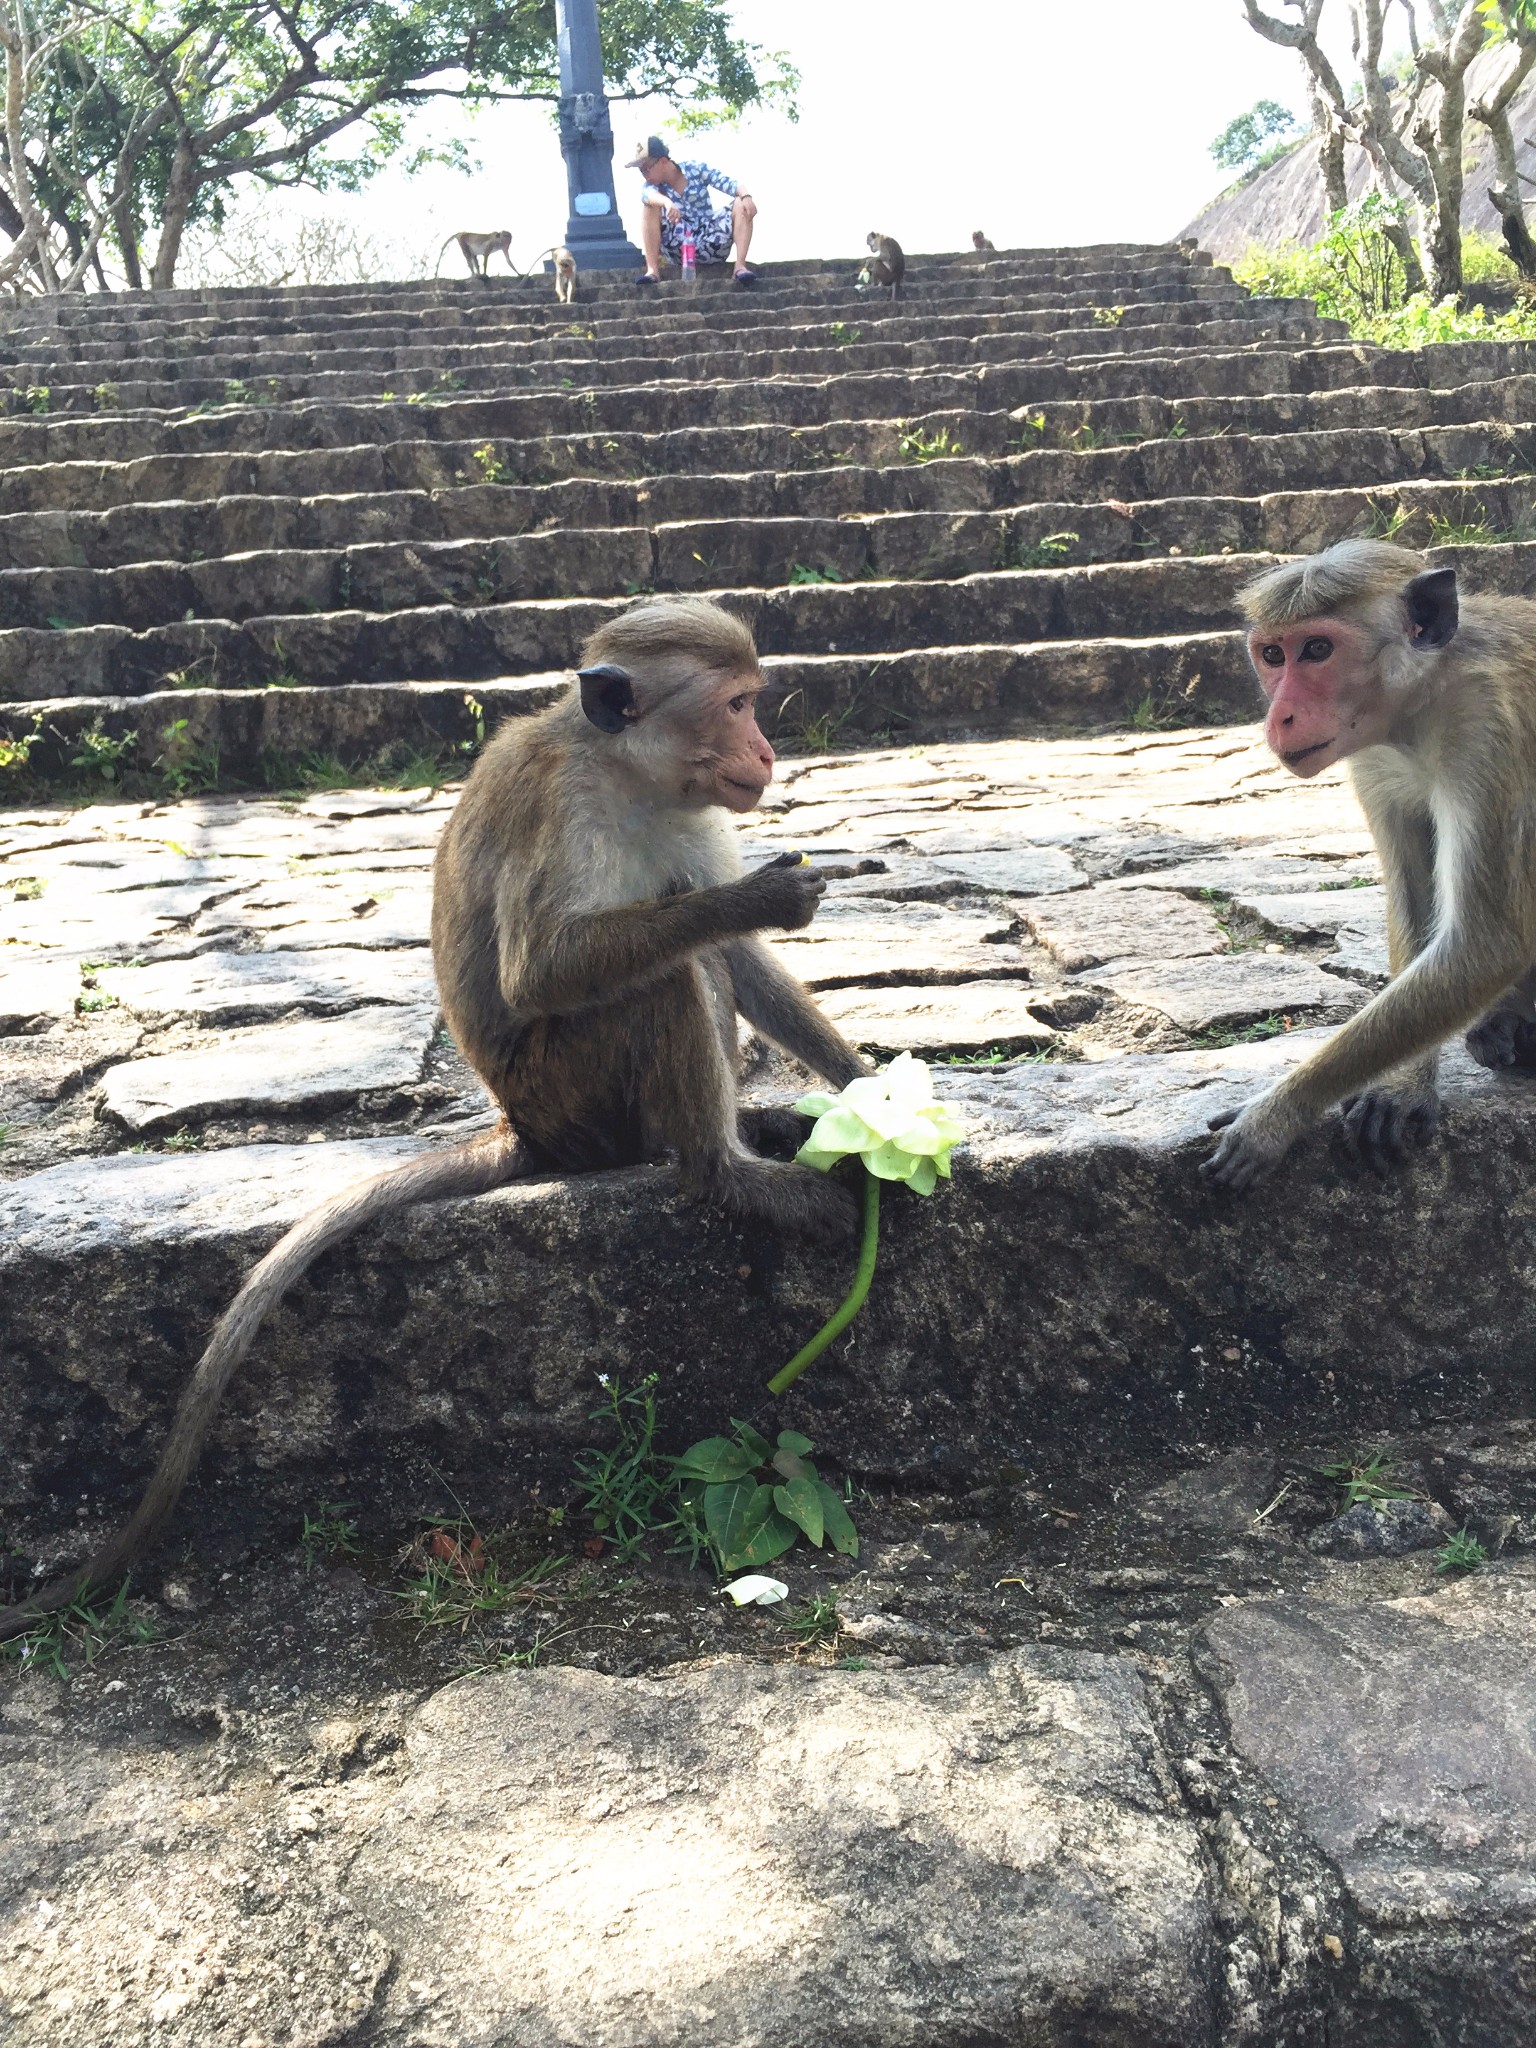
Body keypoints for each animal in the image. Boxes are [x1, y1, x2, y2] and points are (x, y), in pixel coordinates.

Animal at [0, 598, 868, 1646]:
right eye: (736, 704)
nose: (766, 746)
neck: (628, 771)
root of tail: (523, 1128)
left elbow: (739, 958)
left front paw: (867, 1085)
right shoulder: (562, 806)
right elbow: (550, 970)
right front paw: (764, 897)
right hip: (573, 1091)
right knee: (658, 974)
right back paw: (724, 1169)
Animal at [1212, 536, 1536, 1196]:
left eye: (1317, 649)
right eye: (1272, 654)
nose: (1278, 716)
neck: (1425, 699)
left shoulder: (1489, 729)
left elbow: (1488, 940)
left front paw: (1277, 1114)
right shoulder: (1374, 758)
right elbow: (1418, 893)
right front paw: (1402, 1084)